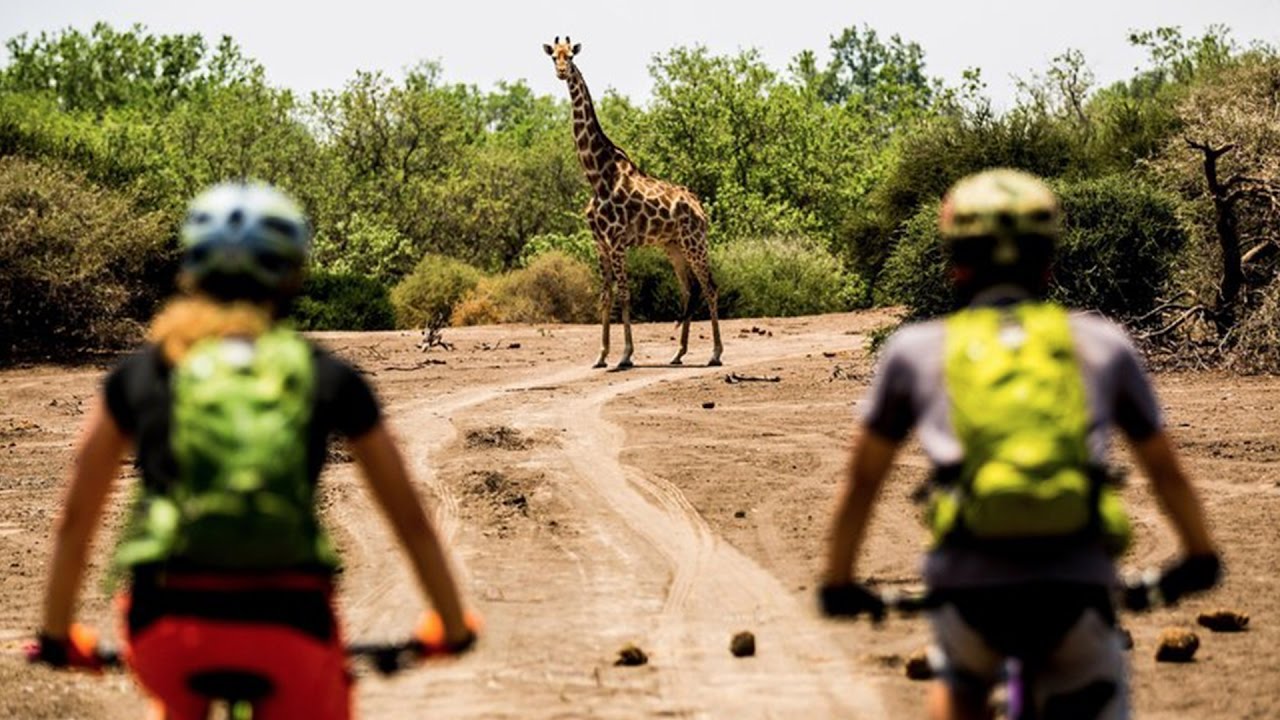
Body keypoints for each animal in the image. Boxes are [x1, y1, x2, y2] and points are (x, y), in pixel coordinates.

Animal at [540, 35, 721, 366]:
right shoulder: (600, 243)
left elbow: (624, 294)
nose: (561, 72)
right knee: (688, 290)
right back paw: (678, 353)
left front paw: (625, 355)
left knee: (709, 287)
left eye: (570, 56)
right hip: (673, 246)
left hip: (695, 242)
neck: (597, 176)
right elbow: (605, 296)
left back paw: (715, 353)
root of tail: (700, 207)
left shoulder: (617, 242)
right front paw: (601, 356)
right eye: (553, 57)